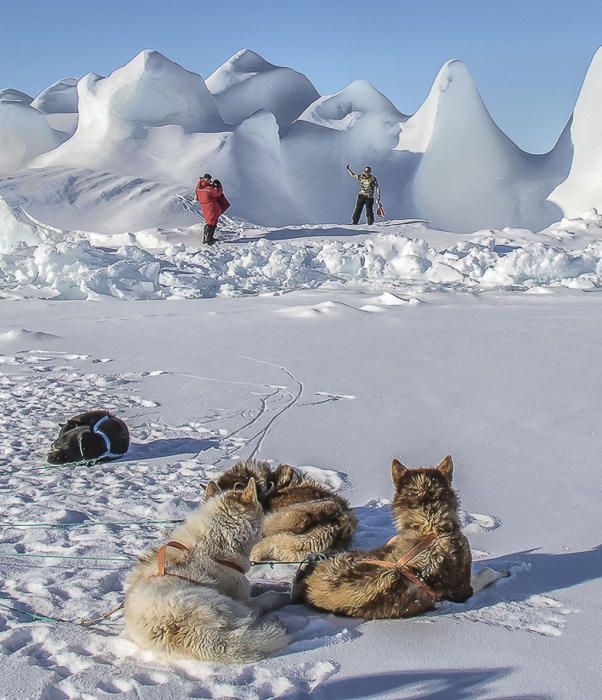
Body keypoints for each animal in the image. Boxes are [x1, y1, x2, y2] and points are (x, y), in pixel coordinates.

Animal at [123, 478, 288, 664]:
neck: (212, 543)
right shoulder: (242, 594)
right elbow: (267, 595)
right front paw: (284, 592)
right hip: (232, 606)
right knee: (257, 610)